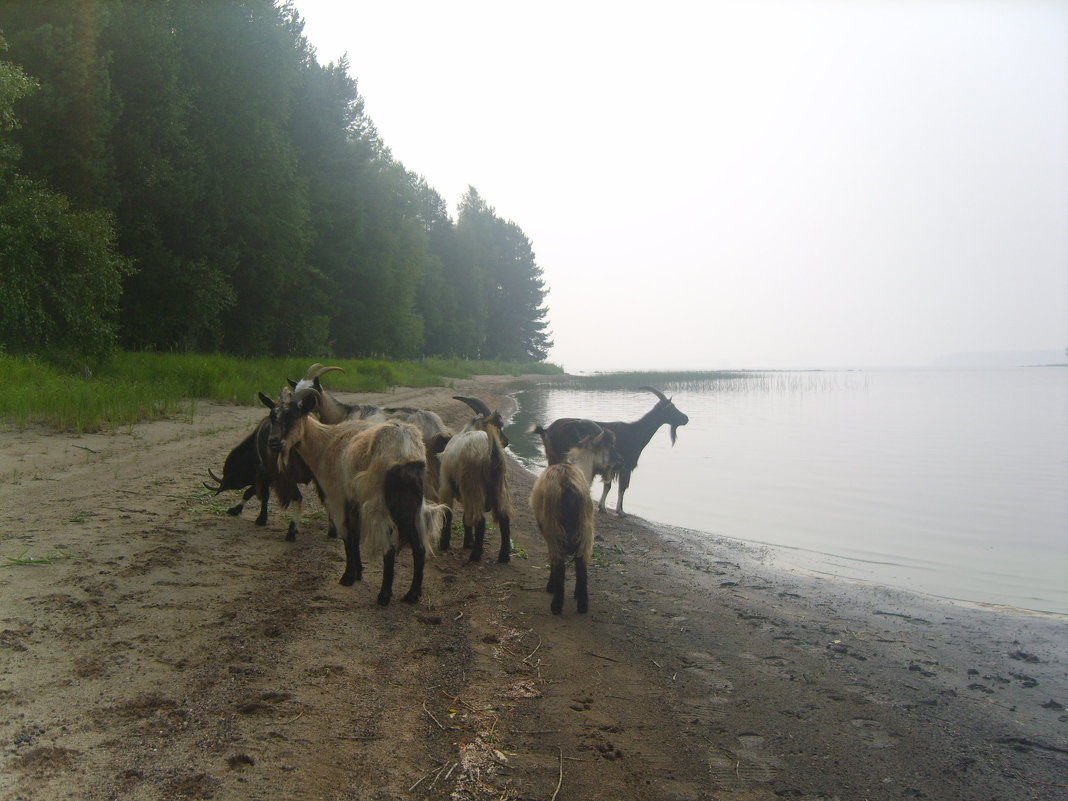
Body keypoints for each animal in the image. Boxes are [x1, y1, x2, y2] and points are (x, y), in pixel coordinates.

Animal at [262, 390, 446, 606]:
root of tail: (406, 448)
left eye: (293, 416)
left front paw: (348, 577)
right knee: (419, 546)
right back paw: (412, 595)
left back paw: (384, 595)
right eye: (272, 416)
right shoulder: (354, 501)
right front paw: (358, 572)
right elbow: (355, 535)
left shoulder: (338, 497)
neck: (325, 444)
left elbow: (347, 536)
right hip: (412, 502)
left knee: (389, 548)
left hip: (381, 501)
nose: (273, 442)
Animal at [437, 397, 512, 563]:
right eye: (498, 426)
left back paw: (475, 555)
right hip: (498, 486)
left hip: (473, 485)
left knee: (481, 520)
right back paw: (503, 556)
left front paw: (444, 544)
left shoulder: (446, 486)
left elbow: (448, 513)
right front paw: (468, 543)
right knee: (504, 517)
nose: (506, 441)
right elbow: (466, 517)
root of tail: (490, 454)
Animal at [527, 429, 623, 619]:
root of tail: (567, 482)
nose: (621, 462)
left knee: (560, 564)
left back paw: (556, 604)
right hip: (585, 530)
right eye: (610, 446)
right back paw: (582, 603)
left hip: (555, 529)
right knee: (582, 566)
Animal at [534, 386, 692, 516]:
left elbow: (608, 486)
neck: (636, 432)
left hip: (553, 456)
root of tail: (547, 430)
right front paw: (620, 511)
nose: (686, 418)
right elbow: (622, 487)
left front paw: (603, 507)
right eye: (671, 408)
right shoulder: (625, 466)